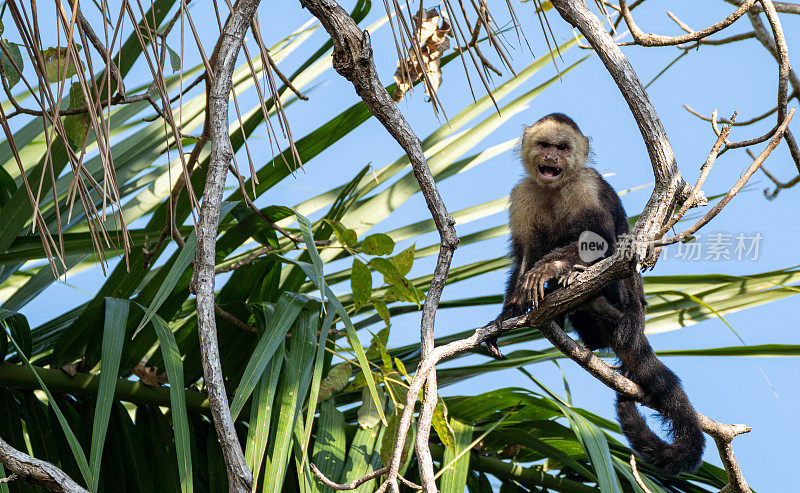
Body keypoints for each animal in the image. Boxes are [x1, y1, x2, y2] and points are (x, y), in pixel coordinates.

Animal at [488, 113, 708, 474]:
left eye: (563, 148)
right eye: (545, 145)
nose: (551, 158)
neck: (556, 187)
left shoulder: (587, 185)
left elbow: (602, 241)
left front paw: (551, 268)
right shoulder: (522, 194)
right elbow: (524, 255)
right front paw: (506, 314)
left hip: (628, 309)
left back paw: (594, 296)